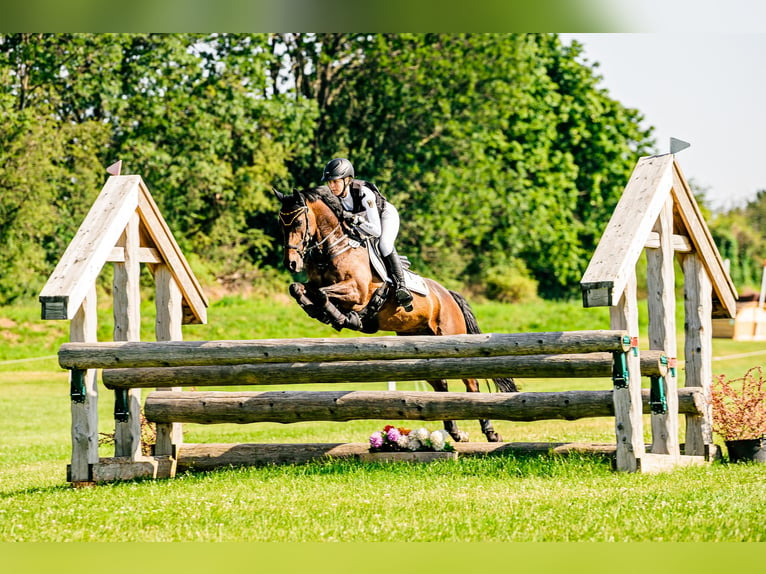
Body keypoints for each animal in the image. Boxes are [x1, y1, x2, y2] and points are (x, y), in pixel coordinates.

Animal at [272, 187, 520, 444]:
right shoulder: (316, 284)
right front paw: (316, 309)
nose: (291, 263)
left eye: (298, 222)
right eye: (280, 223)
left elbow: (323, 294)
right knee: (440, 383)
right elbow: (298, 288)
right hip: (421, 344)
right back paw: (455, 432)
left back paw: (490, 432)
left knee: (472, 383)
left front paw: (342, 317)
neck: (333, 249)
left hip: (452, 337)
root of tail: (448, 294)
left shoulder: (357, 291)